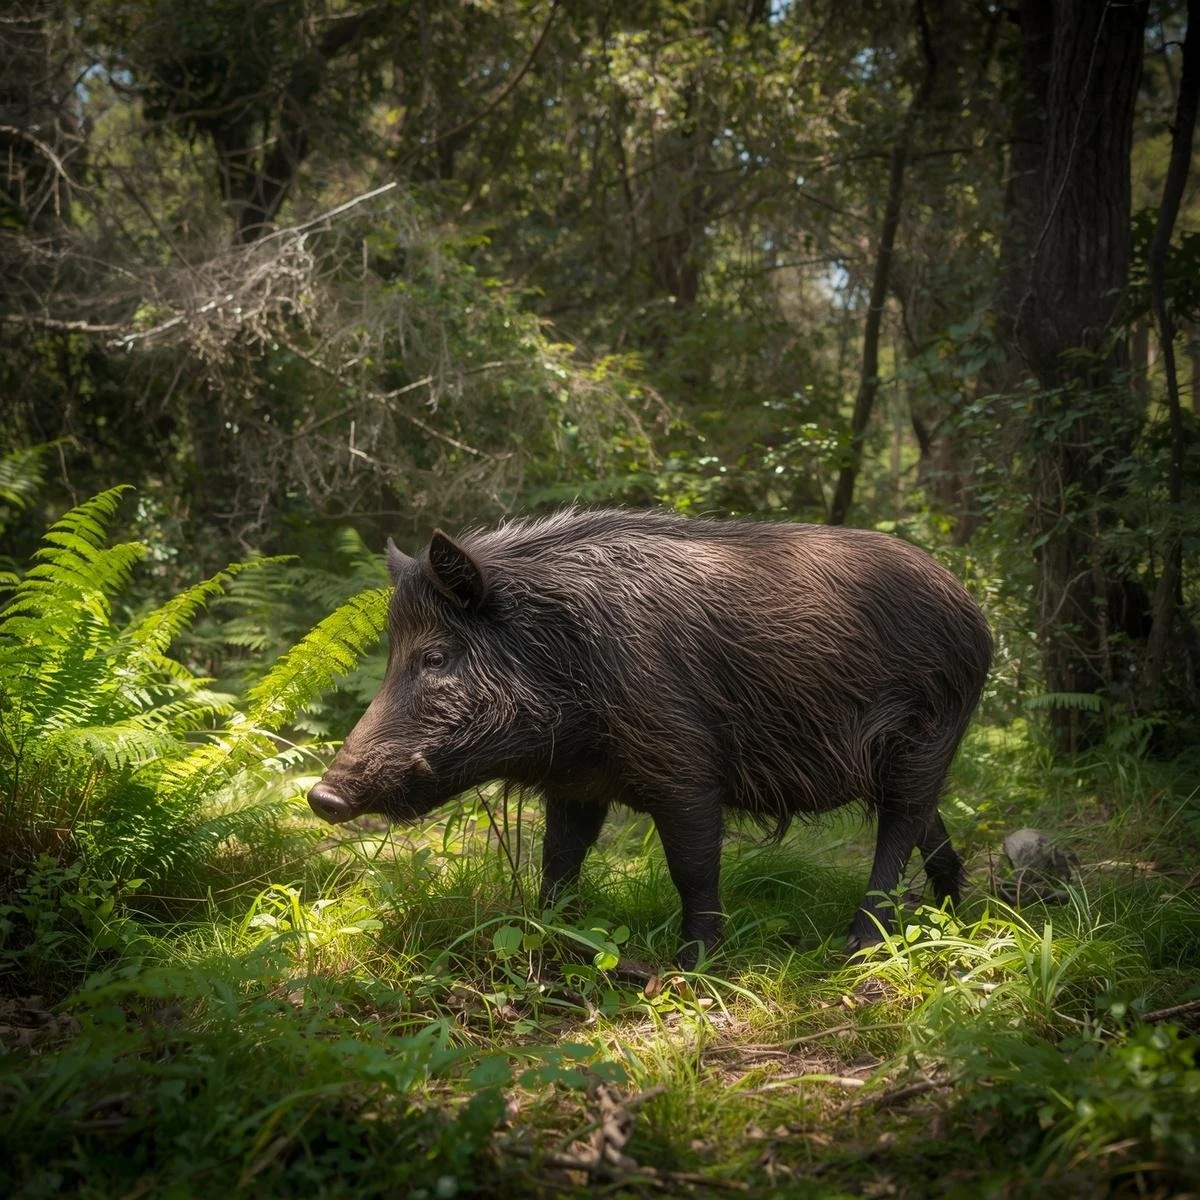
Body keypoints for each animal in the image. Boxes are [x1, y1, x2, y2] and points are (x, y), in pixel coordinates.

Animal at [308, 509, 992, 967]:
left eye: (437, 656)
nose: (322, 796)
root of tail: (974, 611)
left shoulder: (683, 768)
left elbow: (692, 867)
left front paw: (693, 968)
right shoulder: (576, 785)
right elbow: (559, 862)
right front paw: (545, 934)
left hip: (927, 736)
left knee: (899, 829)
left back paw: (858, 946)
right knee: (928, 825)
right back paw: (953, 912)